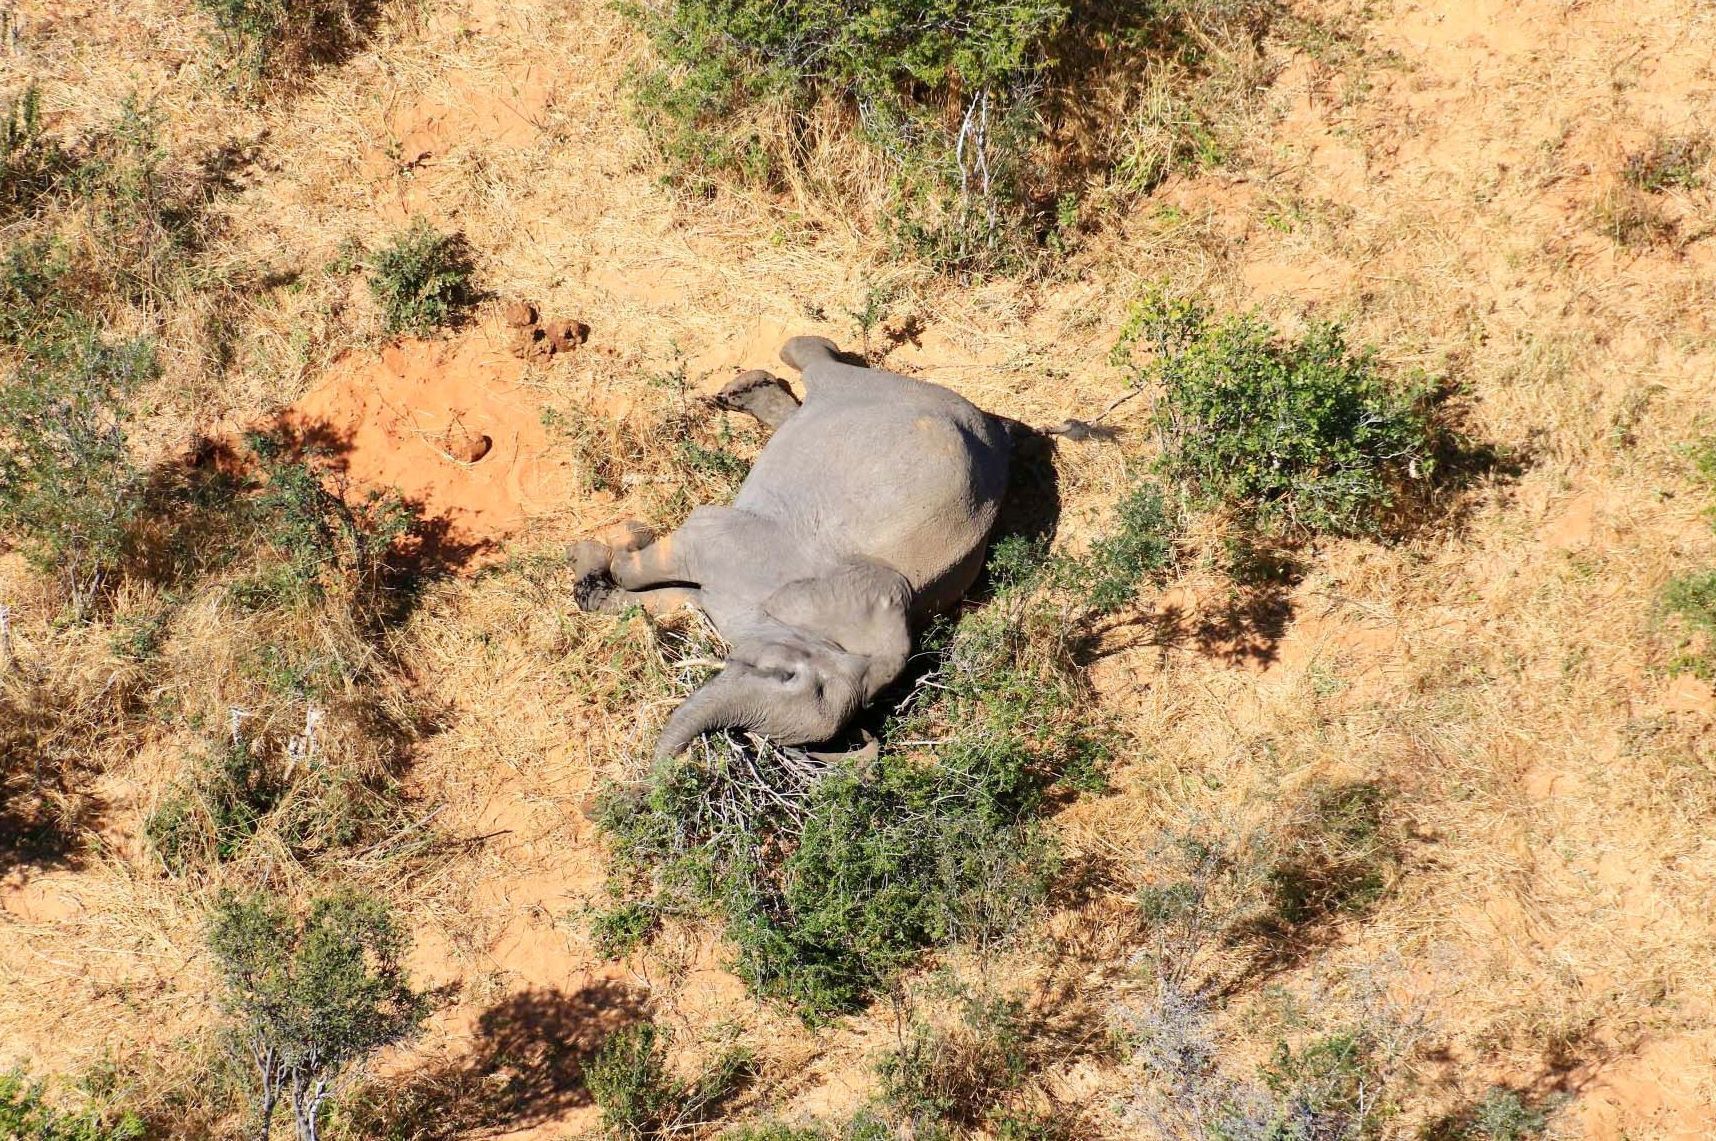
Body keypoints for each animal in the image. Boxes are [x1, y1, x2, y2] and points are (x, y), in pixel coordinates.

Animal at [573, 334, 1015, 761]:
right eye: (789, 675)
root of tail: (986, 423)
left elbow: (675, 599)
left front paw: (593, 578)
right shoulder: (748, 551)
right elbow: (674, 553)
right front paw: (618, 542)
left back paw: (747, 392)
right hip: (886, 391)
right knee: (822, 368)